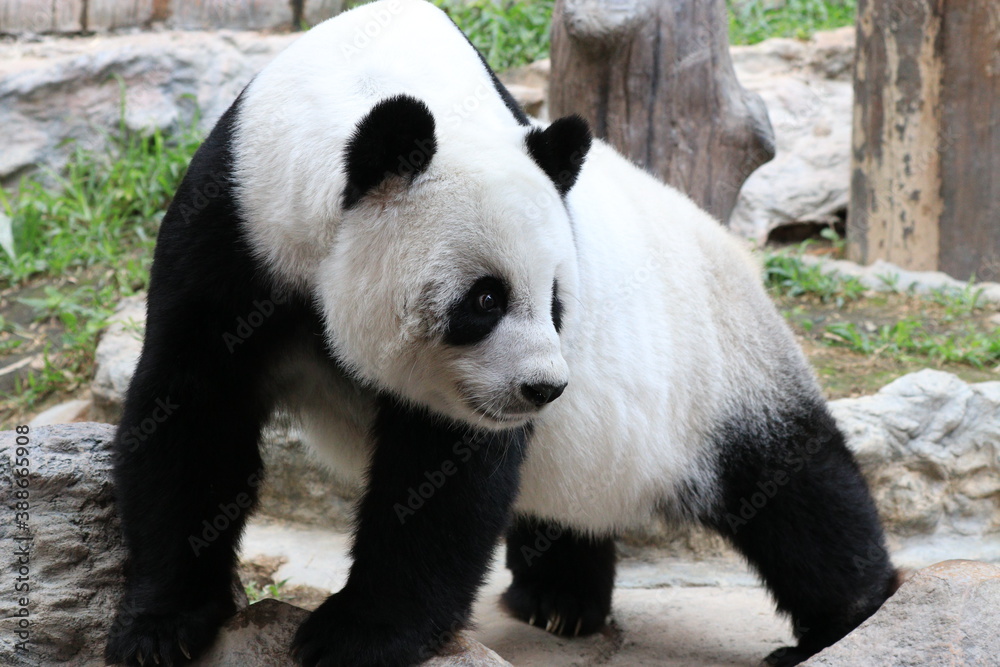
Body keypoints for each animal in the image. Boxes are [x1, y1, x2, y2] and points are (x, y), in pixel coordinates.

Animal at [107, 1, 900, 667]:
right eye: (485, 298)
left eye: (557, 301)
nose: (543, 388)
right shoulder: (234, 227)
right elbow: (193, 414)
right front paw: (161, 626)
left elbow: (445, 473)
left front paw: (355, 635)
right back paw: (559, 598)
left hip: (720, 361)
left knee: (795, 489)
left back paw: (848, 619)